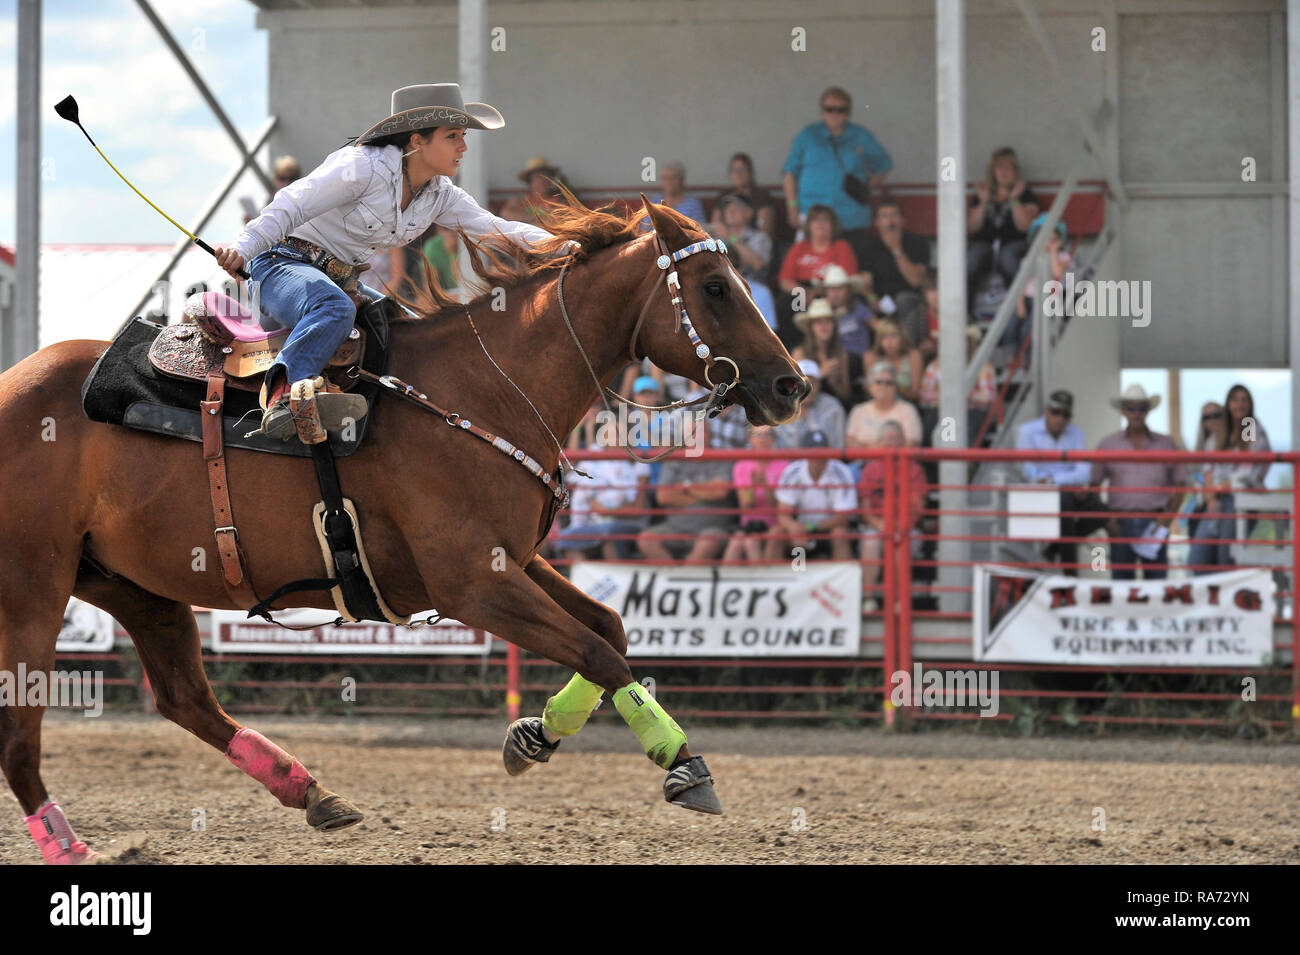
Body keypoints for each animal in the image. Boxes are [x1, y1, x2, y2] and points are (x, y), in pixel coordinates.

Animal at [0, 196, 807, 863]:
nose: (791, 384)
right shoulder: (472, 583)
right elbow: (600, 652)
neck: (479, 390)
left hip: (132, 584)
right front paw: (683, 763)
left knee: (183, 699)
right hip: (35, 588)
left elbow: (608, 628)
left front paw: (536, 733)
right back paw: (71, 848)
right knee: (21, 734)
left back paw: (312, 793)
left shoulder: (510, 560)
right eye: (714, 287)